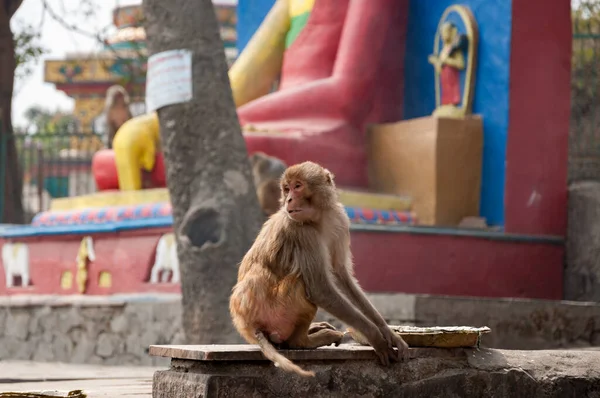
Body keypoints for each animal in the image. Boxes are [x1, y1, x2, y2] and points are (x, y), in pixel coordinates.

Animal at [230, 161, 408, 376]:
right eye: (287, 188)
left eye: (297, 186)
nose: (289, 199)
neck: (319, 218)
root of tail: (247, 325)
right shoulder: (302, 232)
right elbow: (320, 288)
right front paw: (375, 337)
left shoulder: (340, 220)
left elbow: (341, 275)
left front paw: (388, 332)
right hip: (274, 315)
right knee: (300, 284)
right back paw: (303, 341)